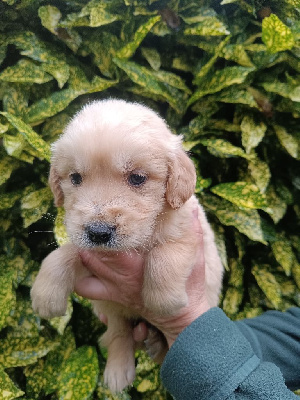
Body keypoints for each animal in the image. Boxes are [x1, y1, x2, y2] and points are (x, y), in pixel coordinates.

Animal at [31, 99, 223, 394]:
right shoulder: (90, 256)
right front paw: (45, 295)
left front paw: (165, 301)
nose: (98, 233)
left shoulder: (189, 232)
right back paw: (118, 371)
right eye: (75, 178)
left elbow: (164, 255)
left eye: (138, 178)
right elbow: (61, 254)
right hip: (113, 308)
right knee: (119, 334)